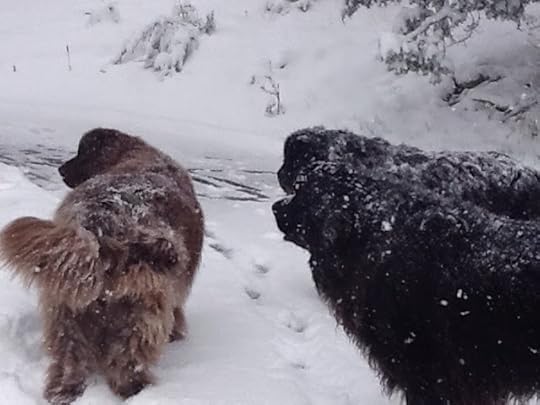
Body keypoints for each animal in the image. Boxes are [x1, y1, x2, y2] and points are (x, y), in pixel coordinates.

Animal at [0, 128, 204, 404]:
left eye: (81, 153)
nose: (61, 169)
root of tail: (102, 236)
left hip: (68, 308)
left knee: (70, 363)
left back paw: (63, 392)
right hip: (142, 315)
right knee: (128, 370)